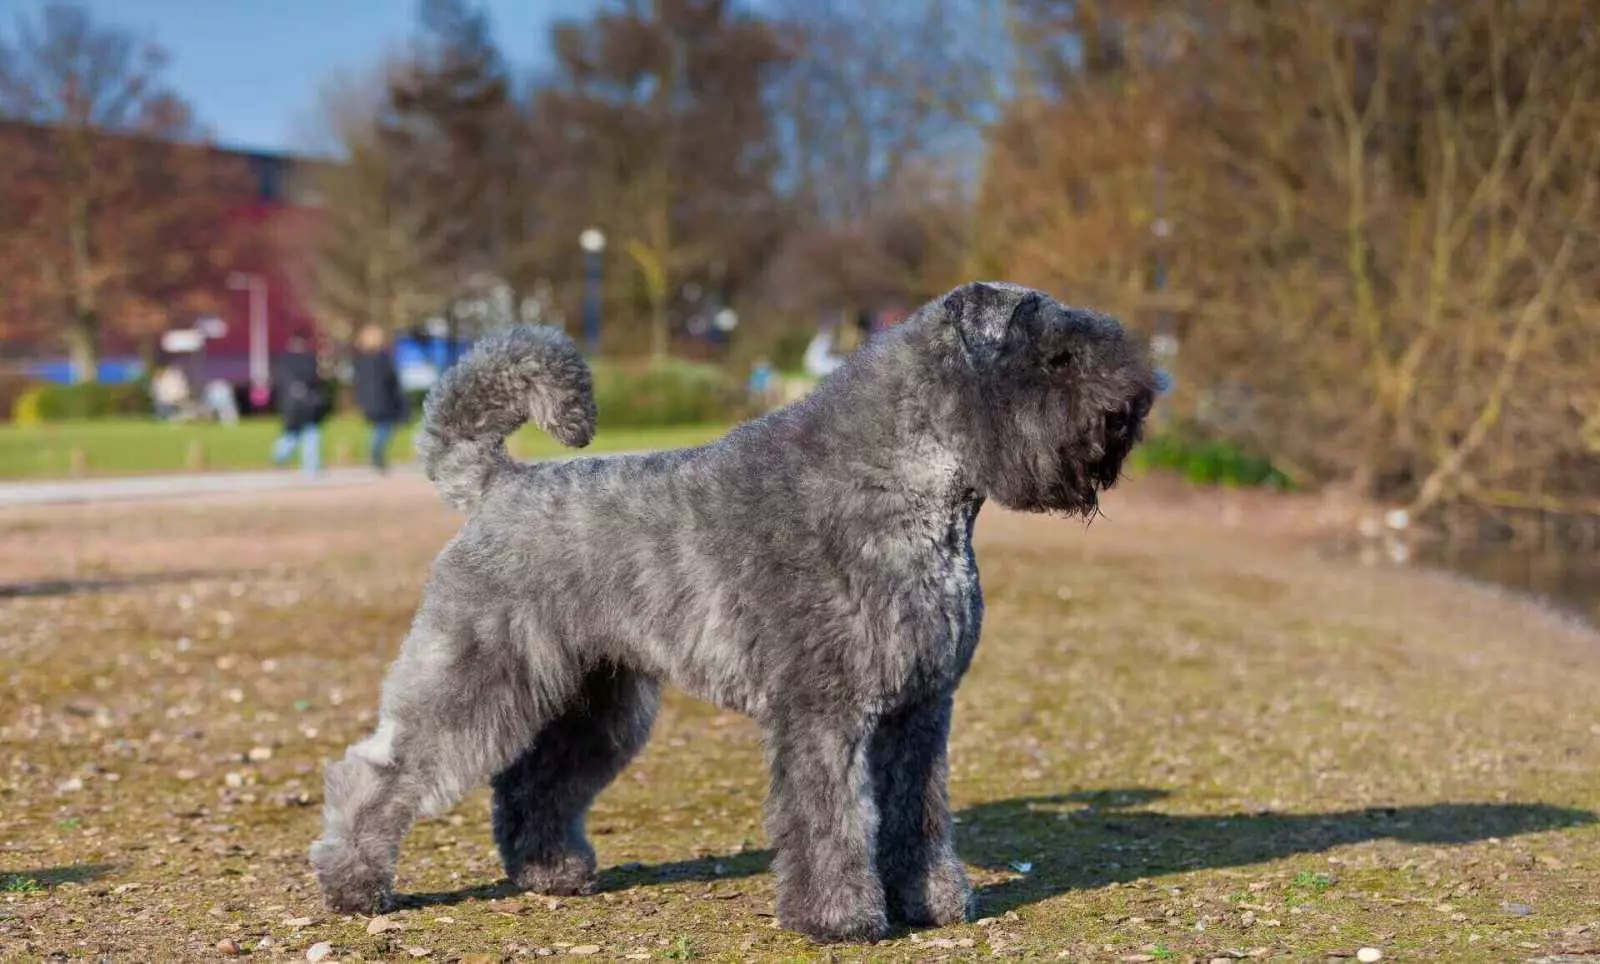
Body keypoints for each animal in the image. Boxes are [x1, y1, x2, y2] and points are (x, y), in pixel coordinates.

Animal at [305, 277, 1158, 935]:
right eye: (1055, 356)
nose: (1134, 407)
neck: (901, 486)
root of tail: (497, 487)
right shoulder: (825, 711)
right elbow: (832, 817)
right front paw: (840, 917)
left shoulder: (920, 711)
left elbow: (916, 814)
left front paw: (932, 902)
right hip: (474, 677)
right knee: (380, 769)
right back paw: (354, 883)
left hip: (595, 703)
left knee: (533, 783)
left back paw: (551, 870)